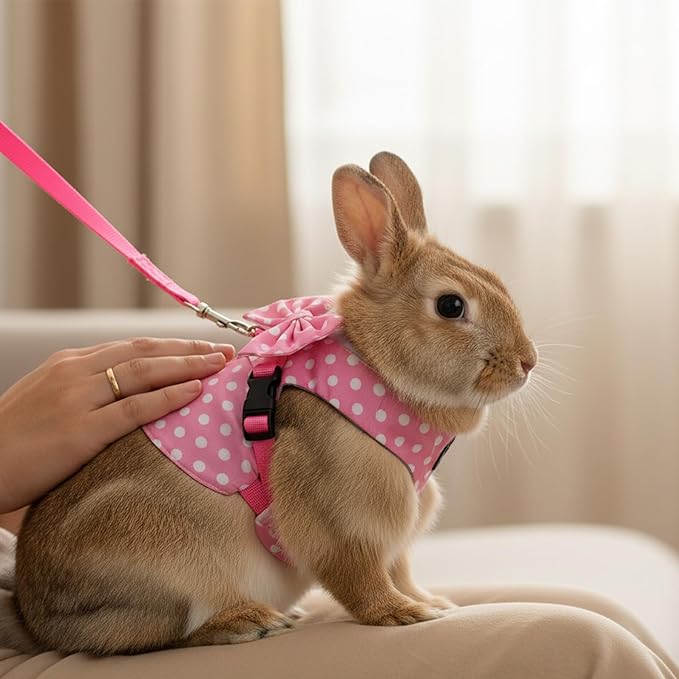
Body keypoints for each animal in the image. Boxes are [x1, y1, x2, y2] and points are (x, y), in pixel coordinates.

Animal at [7, 151, 537, 655]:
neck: (378, 368)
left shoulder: (395, 530)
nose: (527, 363)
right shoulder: (343, 516)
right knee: (158, 634)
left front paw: (429, 601)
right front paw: (402, 613)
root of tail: (36, 620)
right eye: (451, 306)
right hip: (165, 563)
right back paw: (248, 621)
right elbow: (360, 573)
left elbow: (400, 567)